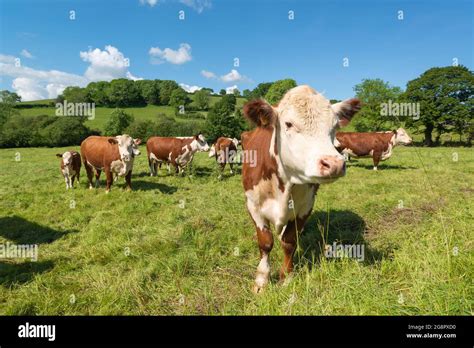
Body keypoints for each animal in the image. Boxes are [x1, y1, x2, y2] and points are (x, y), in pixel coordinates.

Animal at [243, 85, 362, 292]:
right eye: (288, 124)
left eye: (334, 127)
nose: (334, 164)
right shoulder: (253, 205)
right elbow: (265, 243)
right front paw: (261, 280)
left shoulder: (305, 207)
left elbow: (289, 242)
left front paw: (286, 277)